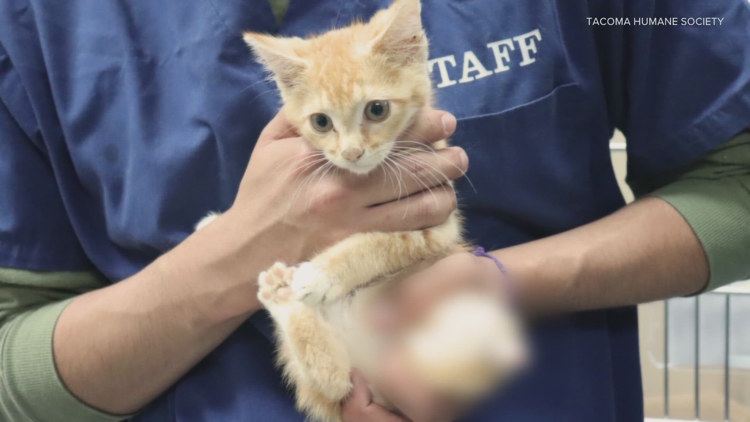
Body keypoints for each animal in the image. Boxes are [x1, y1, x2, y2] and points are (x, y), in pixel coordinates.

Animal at [201, 1, 528, 420]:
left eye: (376, 110)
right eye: (321, 121)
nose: (352, 153)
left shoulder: (436, 224)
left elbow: (376, 243)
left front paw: (321, 273)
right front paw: (217, 224)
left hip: (467, 325)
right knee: (332, 377)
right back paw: (281, 295)